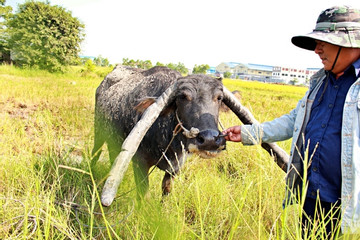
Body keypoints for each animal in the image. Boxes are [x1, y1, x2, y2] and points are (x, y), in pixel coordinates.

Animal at [93, 65, 290, 206]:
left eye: (219, 98)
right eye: (182, 97)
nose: (210, 140)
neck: (168, 144)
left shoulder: (175, 168)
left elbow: (166, 190)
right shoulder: (139, 162)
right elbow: (144, 196)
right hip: (99, 131)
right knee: (96, 151)